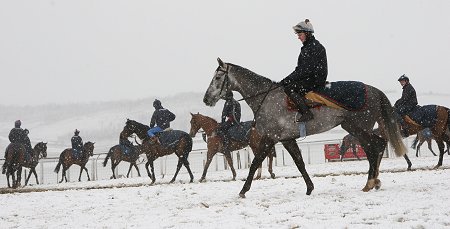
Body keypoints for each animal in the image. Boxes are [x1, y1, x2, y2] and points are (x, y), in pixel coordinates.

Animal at [204, 57, 408, 199]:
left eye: (218, 77)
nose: (206, 99)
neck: (266, 98)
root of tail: (373, 90)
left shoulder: (270, 138)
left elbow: (255, 162)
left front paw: (243, 190)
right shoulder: (287, 139)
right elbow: (299, 162)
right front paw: (310, 188)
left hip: (359, 128)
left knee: (373, 148)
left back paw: (370, 181)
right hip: (354, 127)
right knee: (377, 146)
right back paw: (375, 180)